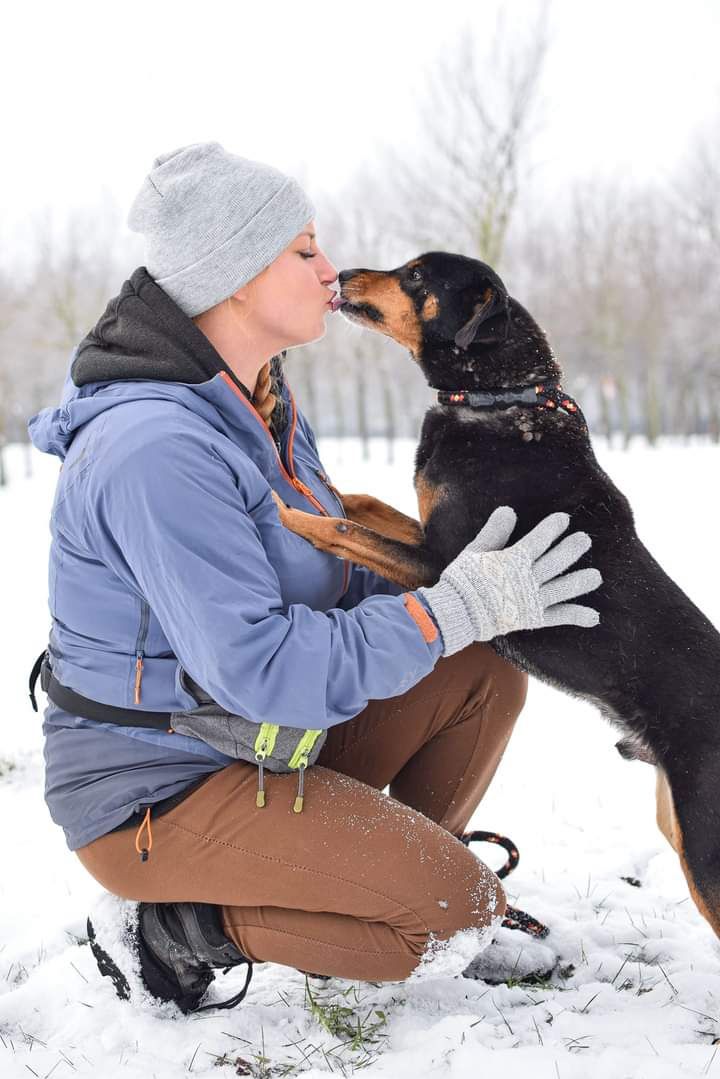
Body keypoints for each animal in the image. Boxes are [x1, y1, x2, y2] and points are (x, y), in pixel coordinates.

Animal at [273, 250, 720, 936]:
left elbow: (345, 529)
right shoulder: (432, 541)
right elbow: (366, 505)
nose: (343, 274)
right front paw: (320, 487)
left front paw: (288, 512)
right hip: (675, 817)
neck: (497, 397)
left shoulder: (439, 566)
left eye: (417, 276)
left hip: (705, 840)